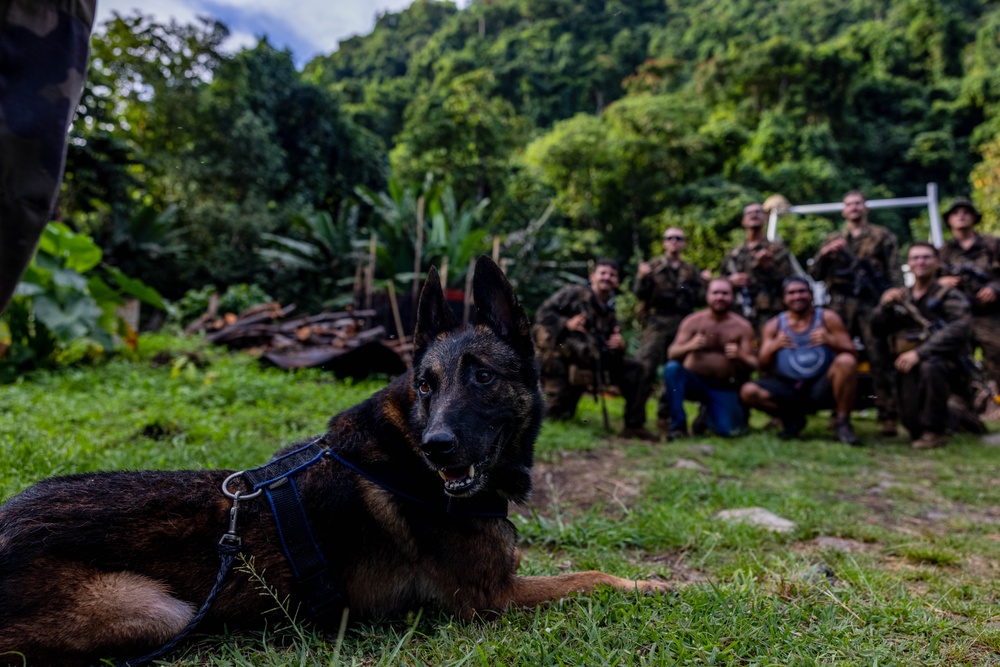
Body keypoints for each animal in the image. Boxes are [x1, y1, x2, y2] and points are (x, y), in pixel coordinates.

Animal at [1, 258, 672, 667]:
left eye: (482, 376)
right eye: (425, 385)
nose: (437, 446)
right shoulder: (492, 597)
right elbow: (592, 576)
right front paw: (654, 584)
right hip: (157, 610)